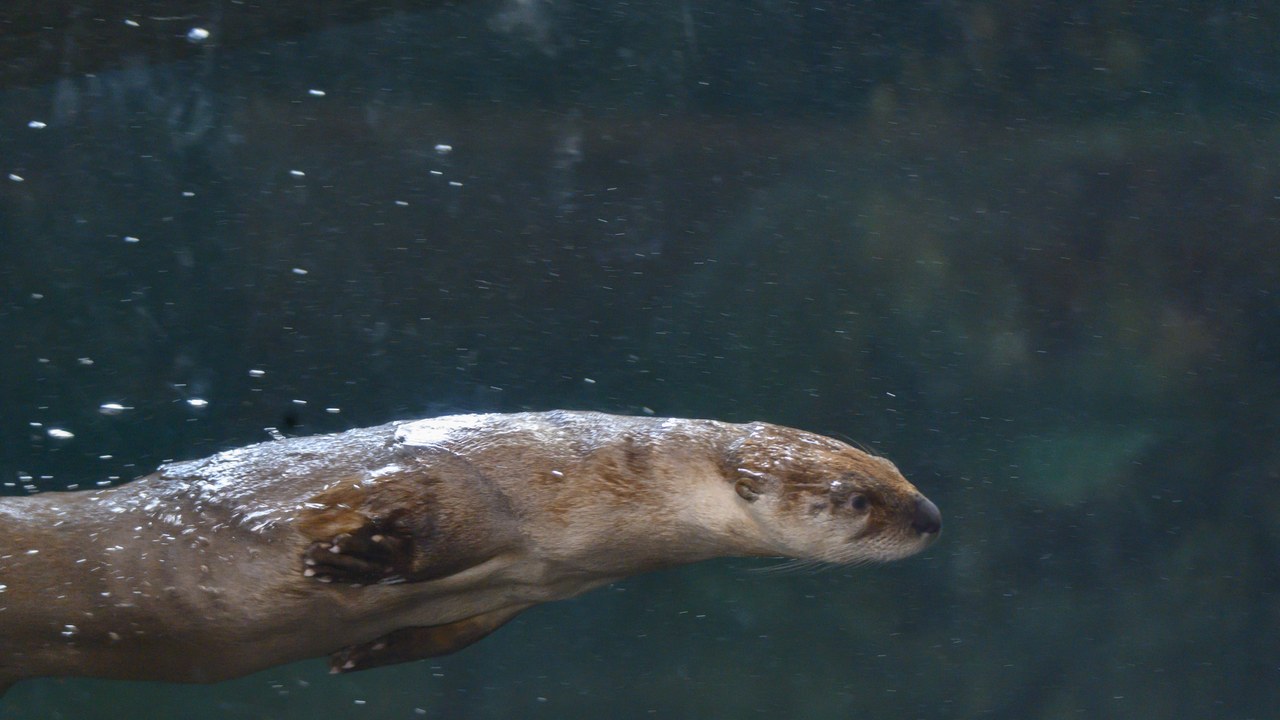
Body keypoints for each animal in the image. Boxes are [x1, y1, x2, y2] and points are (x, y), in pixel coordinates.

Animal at [0, 411, 940, 694]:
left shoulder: (529, 588)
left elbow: (459, 626)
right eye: (858, 500)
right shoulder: (477, 479)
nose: (930, 517)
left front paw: (369, 649)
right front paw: (350, 557)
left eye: (899, 470)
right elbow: (412, 508)